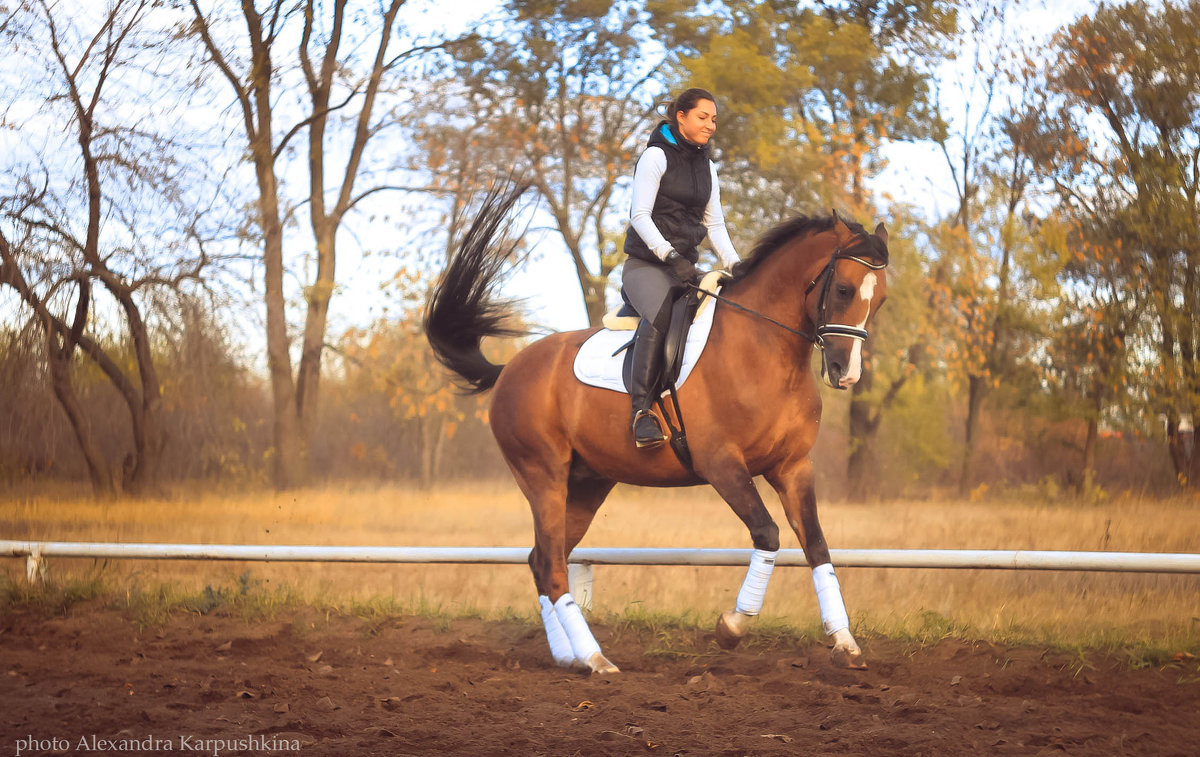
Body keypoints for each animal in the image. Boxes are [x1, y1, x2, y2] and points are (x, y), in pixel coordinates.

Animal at [424, 184, 892, 676]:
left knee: (542, 560)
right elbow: (767, 534)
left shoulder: (793, 467)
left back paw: (568, 655)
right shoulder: (721, 464)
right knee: (550, 564)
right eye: (843, 289)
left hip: (587, 484)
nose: (846, 374)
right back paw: (594, 659)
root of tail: (510, 368)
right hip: (543, 476)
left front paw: (844, 643)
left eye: (879, 300)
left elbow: (817, 546)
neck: (763, 347)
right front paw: (732, 626)